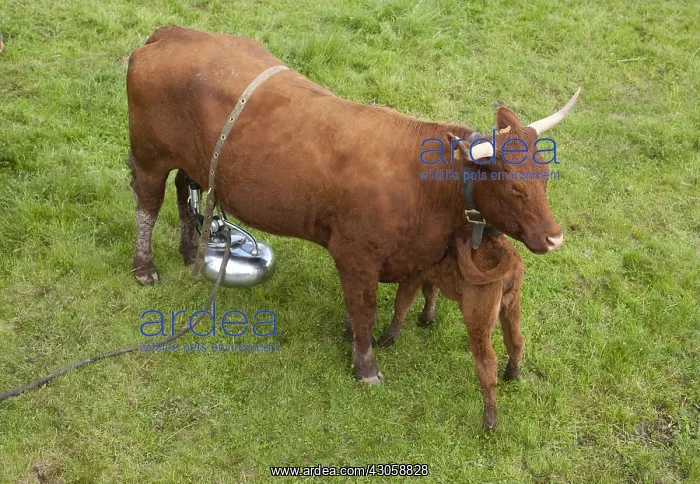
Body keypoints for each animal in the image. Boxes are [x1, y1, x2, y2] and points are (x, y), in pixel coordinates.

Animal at [377, 225, 524, 430]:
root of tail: (505, 251)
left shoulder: (412, 276)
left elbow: (401, 305)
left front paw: (386, 340)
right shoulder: (429, 275)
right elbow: (430, 293)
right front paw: (426, 319)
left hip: (479, 316)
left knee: (487, 361)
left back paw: (490, 420)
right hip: (511, 306)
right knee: (515, 340)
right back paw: (512, 373)